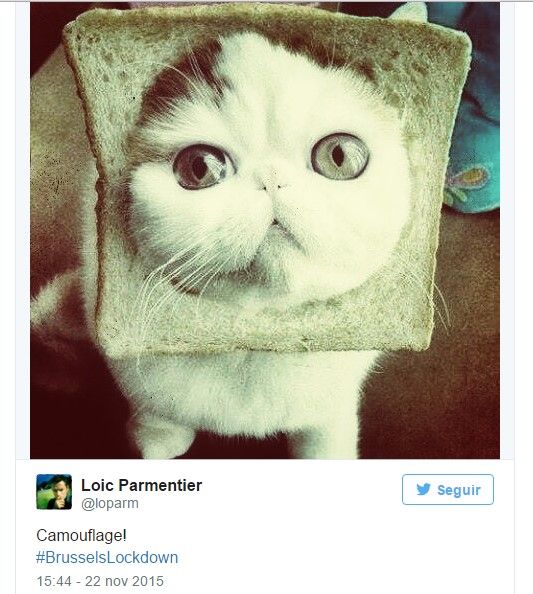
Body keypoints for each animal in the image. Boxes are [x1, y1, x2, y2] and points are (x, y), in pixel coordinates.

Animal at [31, 2, 427, 459]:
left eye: (340, 156)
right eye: (199, 167)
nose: (271, 178)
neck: (251, 348)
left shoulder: (330, 411)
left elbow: (326, 444)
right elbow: (159, 429)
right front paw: (156, 439)